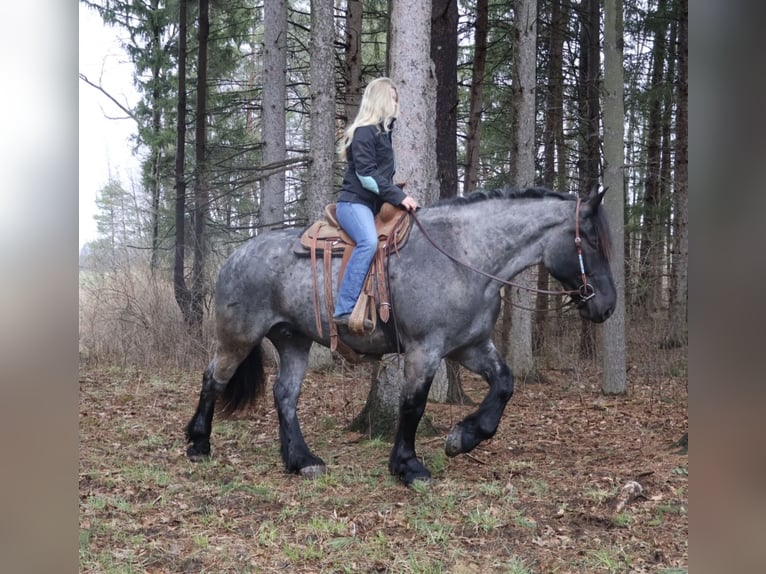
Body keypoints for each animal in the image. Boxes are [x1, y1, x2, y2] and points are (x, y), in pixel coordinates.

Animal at [185, 186, 617, 486]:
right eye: (593, 240)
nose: (607, 306)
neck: (464, 257)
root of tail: (234, 256)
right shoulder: (424, 350)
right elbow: (413, 405)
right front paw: (408, 466)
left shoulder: (470, 347)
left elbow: (505, 384)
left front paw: (464, 438)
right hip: (238, 338)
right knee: (213, 380)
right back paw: (198, 444)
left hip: (294, 340)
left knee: (284, 395)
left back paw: (302, 461)